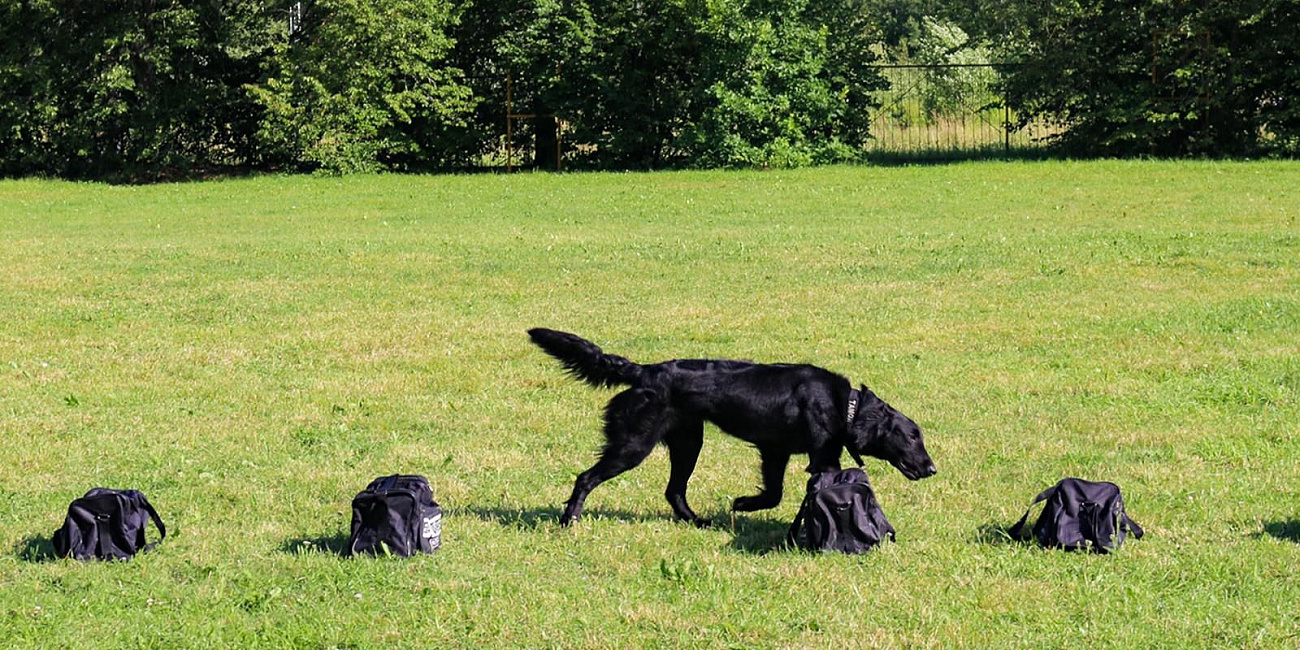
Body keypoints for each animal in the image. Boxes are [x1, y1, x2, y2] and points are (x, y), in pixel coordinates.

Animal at [527, 330, 935, 527]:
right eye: (911, 436)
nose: (931, 468)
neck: (841, 403)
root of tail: (644, 371)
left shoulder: (775, 452)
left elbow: (773, 493)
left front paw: (744, 504)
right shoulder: (821, 460)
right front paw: (744, 505)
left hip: (688, 442)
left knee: (674, 491)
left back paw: (698, 522)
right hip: (634, 444)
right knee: (586, 477)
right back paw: (569, 520)